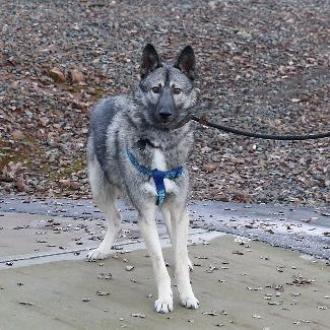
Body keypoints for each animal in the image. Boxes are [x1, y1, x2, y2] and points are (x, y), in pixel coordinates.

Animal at [86, 44, 199, 314]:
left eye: (176, 90)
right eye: (156, 89)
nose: (165, 113)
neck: (160, 140)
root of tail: (109, 99)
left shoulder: (178, 209)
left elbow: (179, 256)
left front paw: (186, 294)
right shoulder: (145, 214)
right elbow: (158, 261)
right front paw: (165, 298)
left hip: (171, 209)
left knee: (176, 239)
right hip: (98, 188)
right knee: (115, 220)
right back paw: (102, 250)